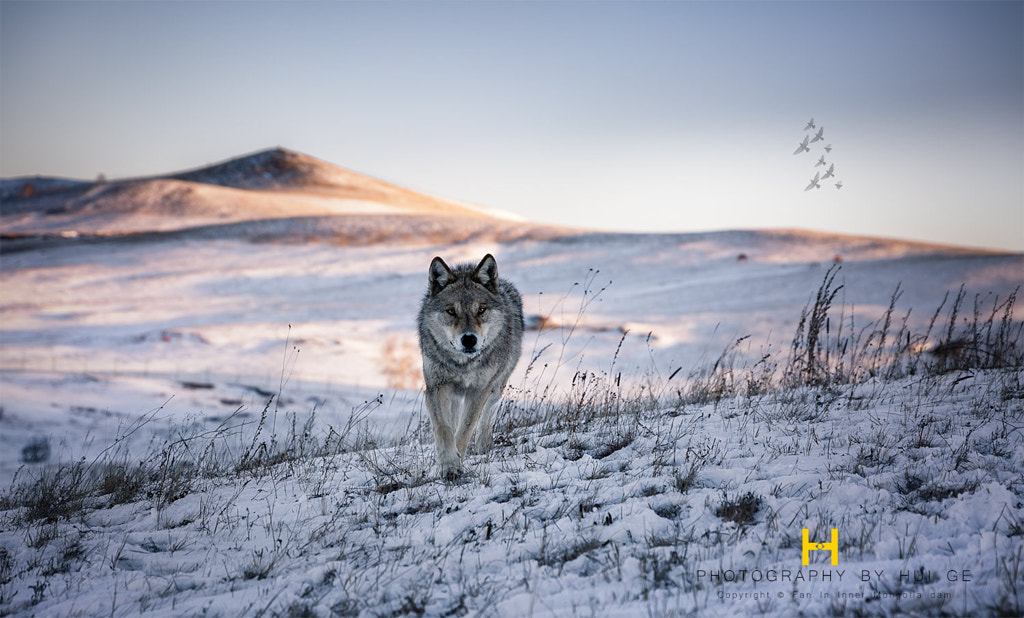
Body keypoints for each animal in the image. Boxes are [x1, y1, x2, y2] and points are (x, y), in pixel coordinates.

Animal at [415, 253, 524, 480]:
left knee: (486, 413)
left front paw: (456, 463)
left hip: (496, 387)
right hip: (454, 396)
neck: (463, 365)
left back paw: (483, 443)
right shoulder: (436, 389)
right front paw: (448, 465)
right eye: (451, 311)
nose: (469, 340)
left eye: (481, 310)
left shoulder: (478, 391)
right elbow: (444, 429)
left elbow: (465, 430)